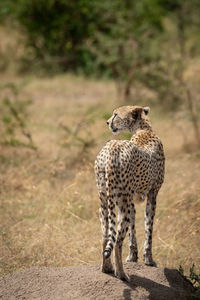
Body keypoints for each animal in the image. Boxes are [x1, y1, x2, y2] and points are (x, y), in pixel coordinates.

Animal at [94, 105, 165, 282]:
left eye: (115, 115)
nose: (107, 122)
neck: (143, 128)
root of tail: (113, 145)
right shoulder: (152, 194)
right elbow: (148, 227)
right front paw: (148, 259)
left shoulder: (132, 199)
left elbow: (134, 228)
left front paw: (133, 256)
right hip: (122, 204)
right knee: (117, 241)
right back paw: (122, 274)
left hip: (105, 202)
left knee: (106, 236)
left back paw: (107, 268)